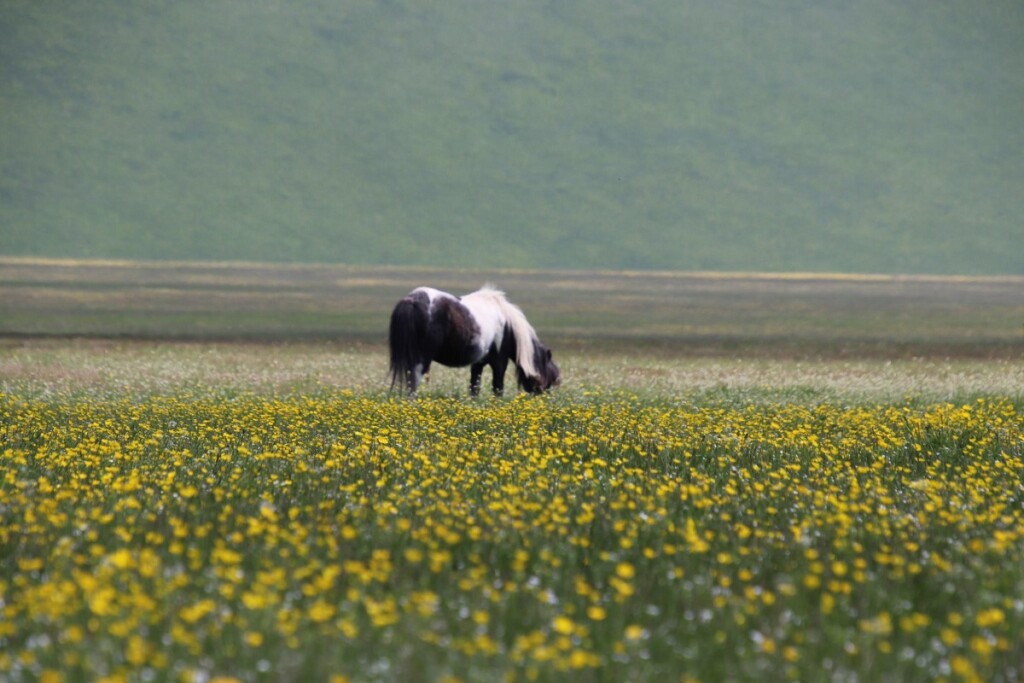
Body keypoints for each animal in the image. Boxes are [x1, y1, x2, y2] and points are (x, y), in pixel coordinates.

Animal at [387, 286, 561, 397]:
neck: (508, 326)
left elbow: (474, 388)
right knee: (414, 380)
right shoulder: (499, 362)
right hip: (422, 359)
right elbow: (498, 388)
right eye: (550, 375)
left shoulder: (478, 363)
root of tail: (411, 300)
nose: (544, 398)